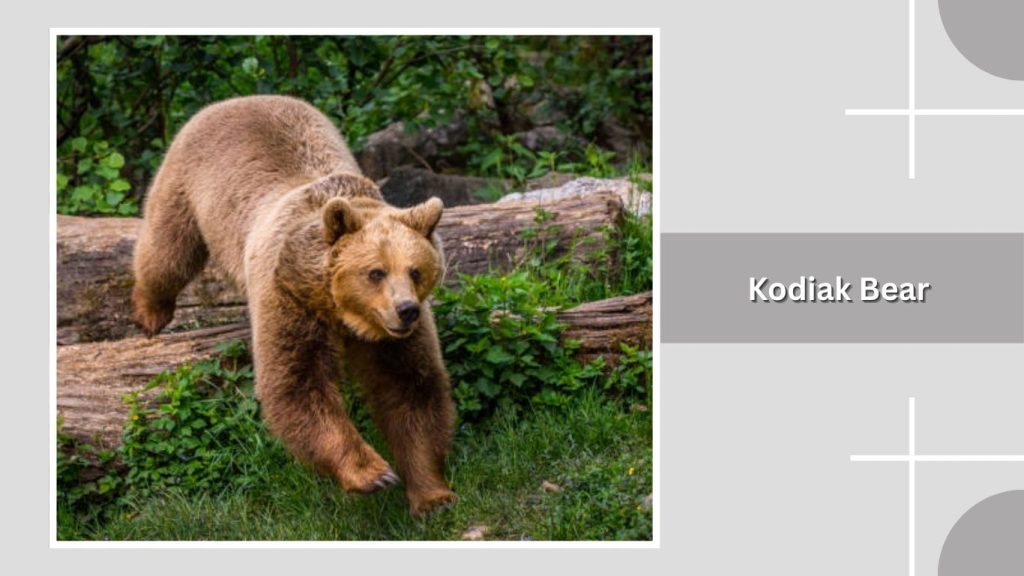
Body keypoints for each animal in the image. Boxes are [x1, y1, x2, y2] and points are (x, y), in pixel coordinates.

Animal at [131, 95, 456, 516]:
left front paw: (432, 496)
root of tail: (238, 99)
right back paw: (150, 312)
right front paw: (373, 473)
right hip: (187, 180)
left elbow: (411, 388)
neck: (341, 311)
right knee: (167, 249)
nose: (406, 310)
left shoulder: (393, 340)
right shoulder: (289, 298)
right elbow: (296, 384)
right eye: (376, 272)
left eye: (415, 270)